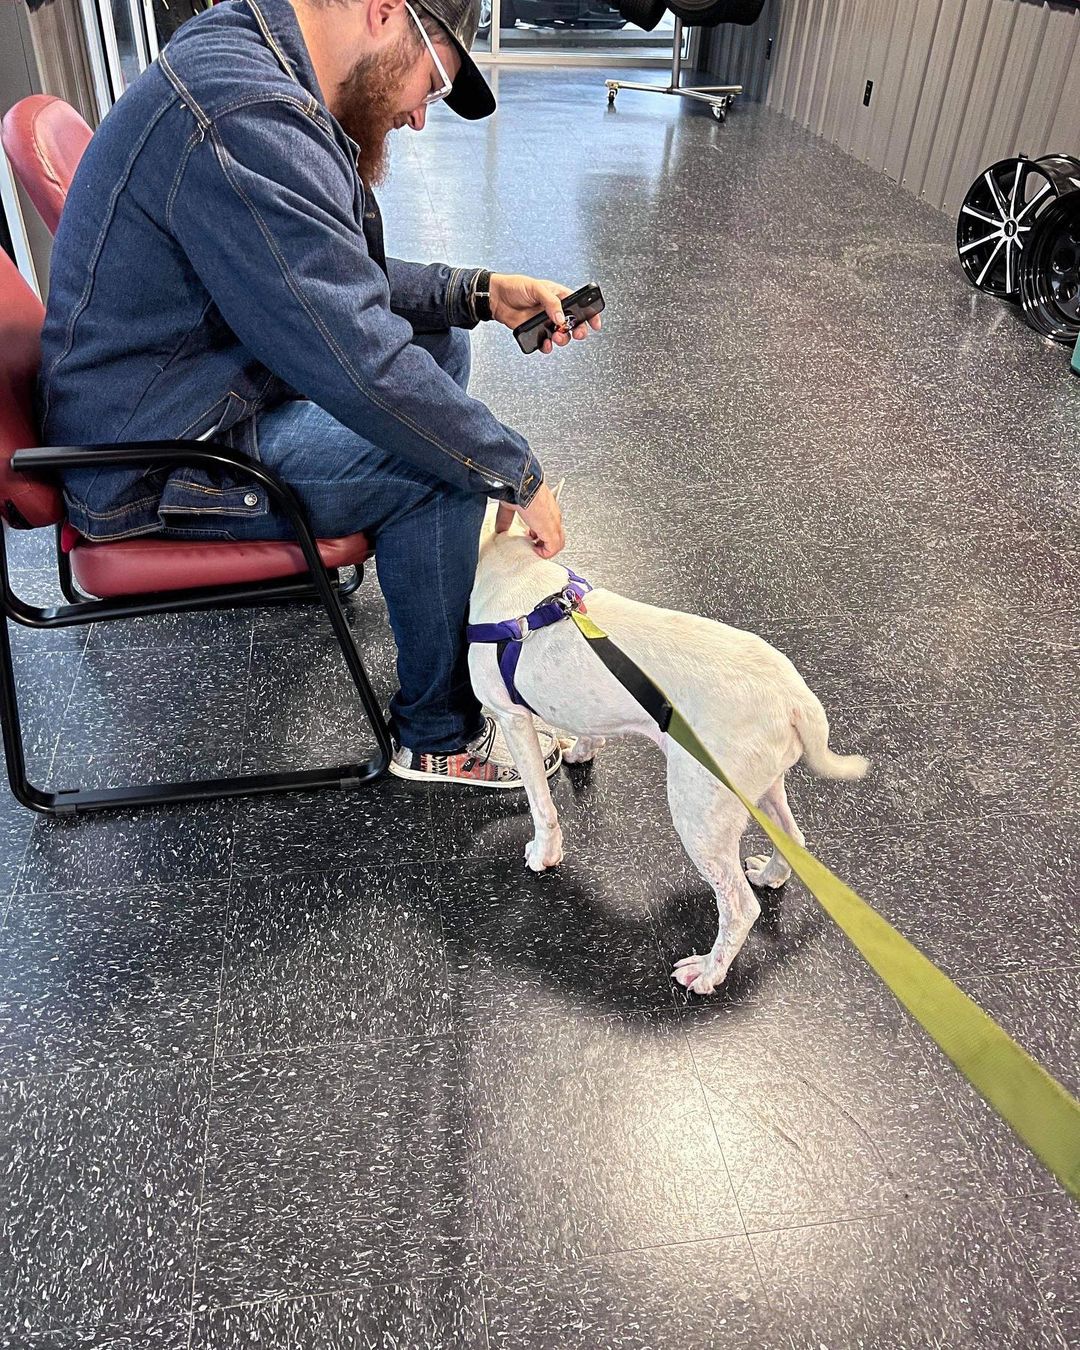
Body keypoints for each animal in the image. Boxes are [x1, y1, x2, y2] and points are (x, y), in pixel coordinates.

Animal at [469, 507, 869, 993]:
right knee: (793, 838)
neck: (510, 561)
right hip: (761, 787)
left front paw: (543, 855)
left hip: (700, 815)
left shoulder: (511, 718)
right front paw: (581, 750)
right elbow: (588, 731)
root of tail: (796, 699)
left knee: (740, 907)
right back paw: (769, 875)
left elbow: (541, 805)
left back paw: (708, 972)